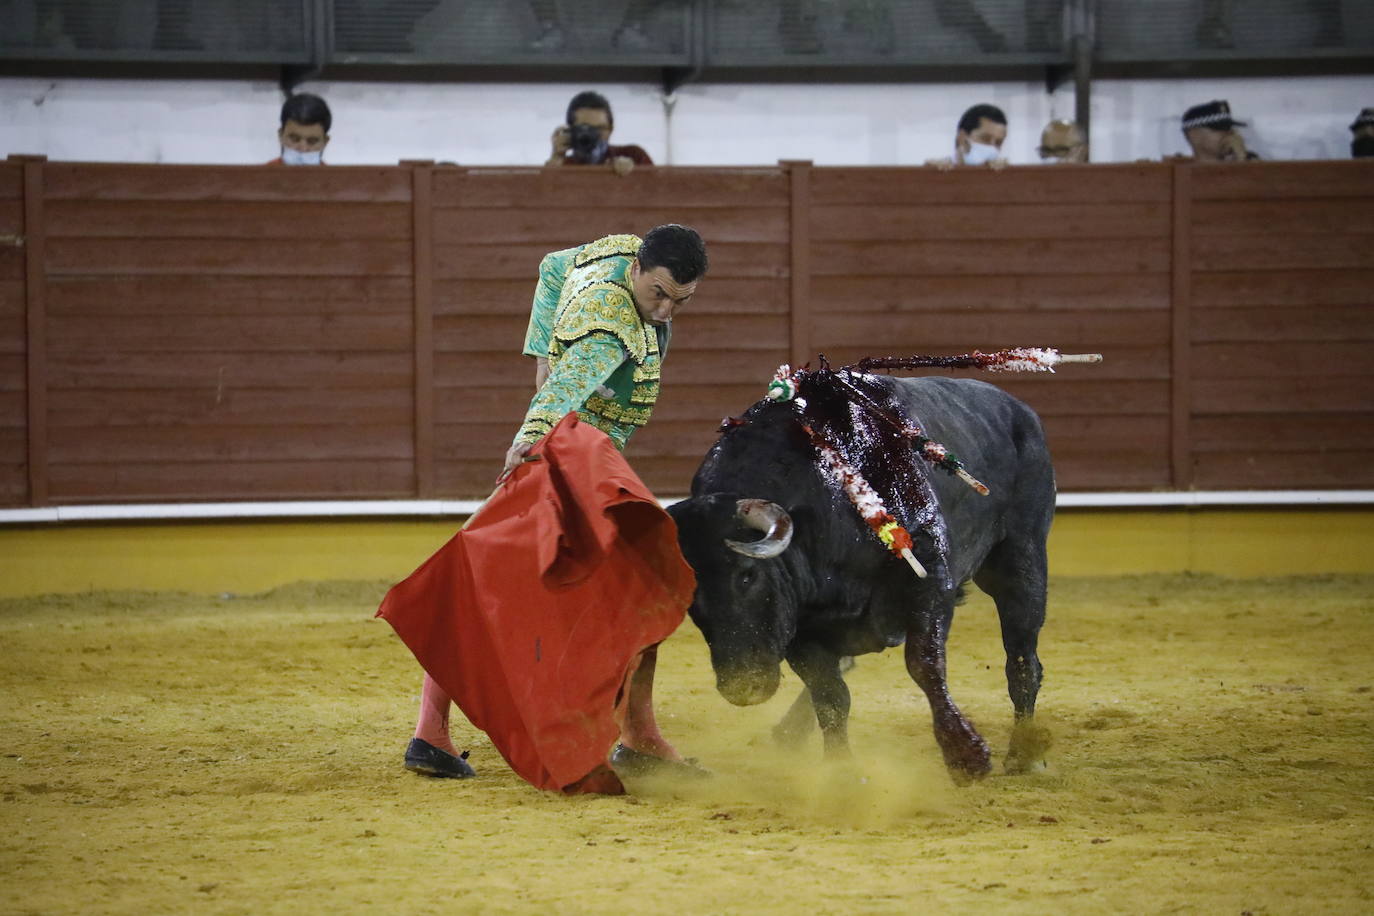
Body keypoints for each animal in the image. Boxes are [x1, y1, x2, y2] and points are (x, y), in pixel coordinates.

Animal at [670, 368, 1055, 780]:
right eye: (689, 595)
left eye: (746, 575)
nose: (743, 687)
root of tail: (1019, 410)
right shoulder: (801, 624)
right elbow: (831, 695)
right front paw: (842, 771)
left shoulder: (930, 580)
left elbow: (925, 665)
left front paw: (966, 756)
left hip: (1022, 558)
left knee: (1022, 657)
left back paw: (1023, 752)